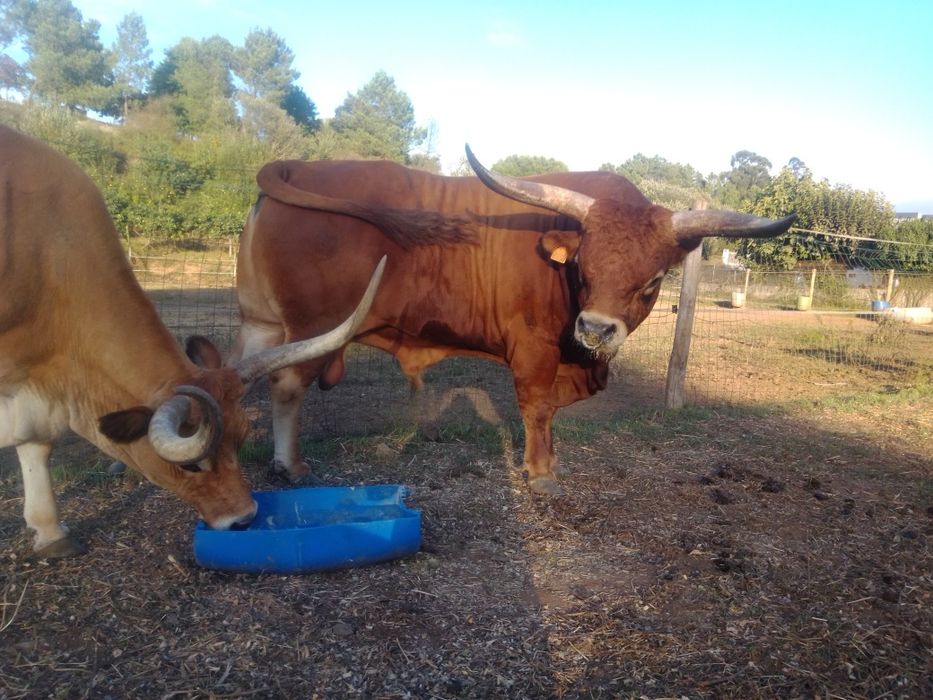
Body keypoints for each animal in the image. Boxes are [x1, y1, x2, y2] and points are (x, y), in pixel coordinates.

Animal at [233, 146, 795, 496]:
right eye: (584, 267)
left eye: (653, 280)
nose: (595, 329)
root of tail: (301, 167)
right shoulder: (534, 347)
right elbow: (538, 407)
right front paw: (542, 472)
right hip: (316, 326)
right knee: (286, 385)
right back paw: (290, 465)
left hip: (261, 322)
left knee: (240, 380)